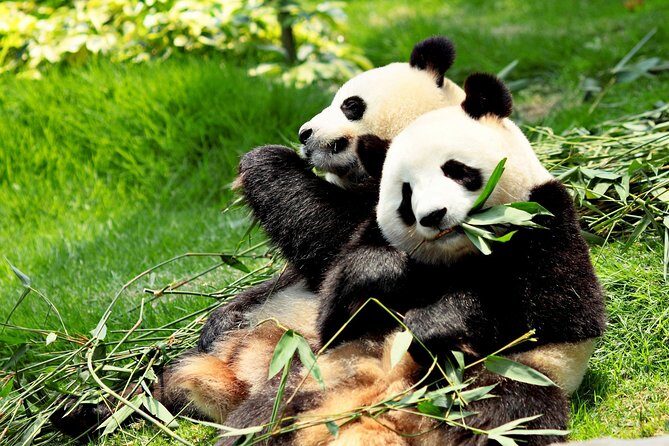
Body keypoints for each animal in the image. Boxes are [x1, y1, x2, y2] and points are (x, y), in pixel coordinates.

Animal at [218, 74, 606, 446]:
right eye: (406, 193)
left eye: (456, 170)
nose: (433, 216)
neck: (460, 253)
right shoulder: (371, 234)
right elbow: (334, 316)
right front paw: (382, 273)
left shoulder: (544, 219)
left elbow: (556, 311)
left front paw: (432, 324)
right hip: (318, 374)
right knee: (263, 418)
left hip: (502, 376)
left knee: (503, 414)